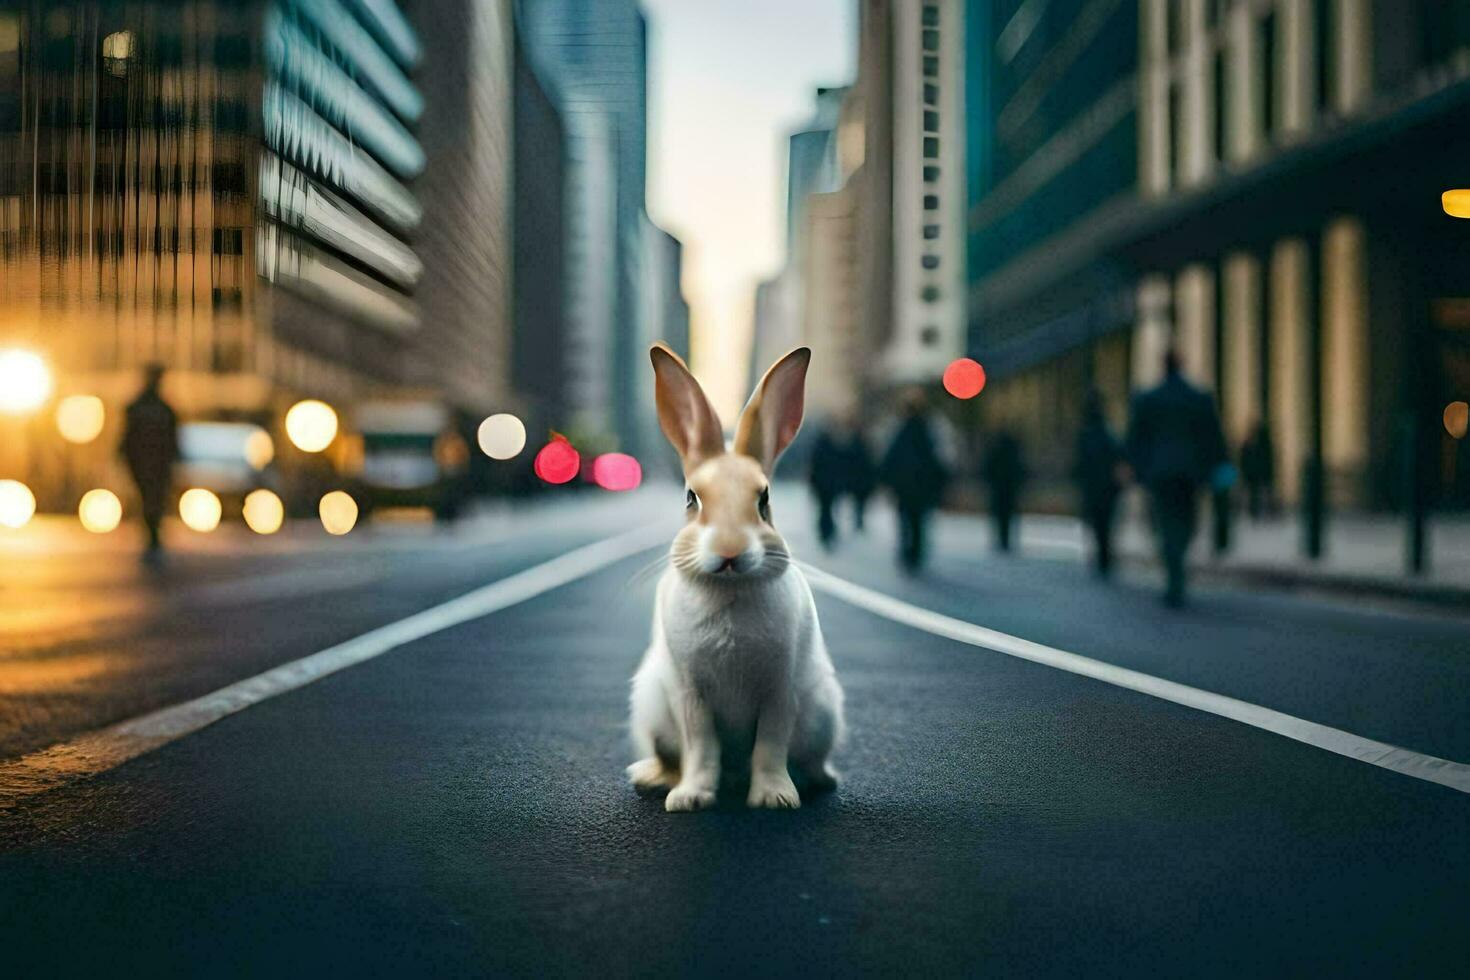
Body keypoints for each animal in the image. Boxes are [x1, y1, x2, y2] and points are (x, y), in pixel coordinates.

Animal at [626, 345, 846, 811]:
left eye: (764, 499)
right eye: (691, 498)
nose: (729, 551)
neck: (729, 590)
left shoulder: (780, 690)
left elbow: (770, 745)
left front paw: (775, 799)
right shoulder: (691, 695)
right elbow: (701, 746)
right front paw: (690, 799)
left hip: (824, 713)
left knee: (809, 758)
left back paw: (820, 780)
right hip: (651, 708)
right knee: (670, 756)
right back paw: (653, 779)